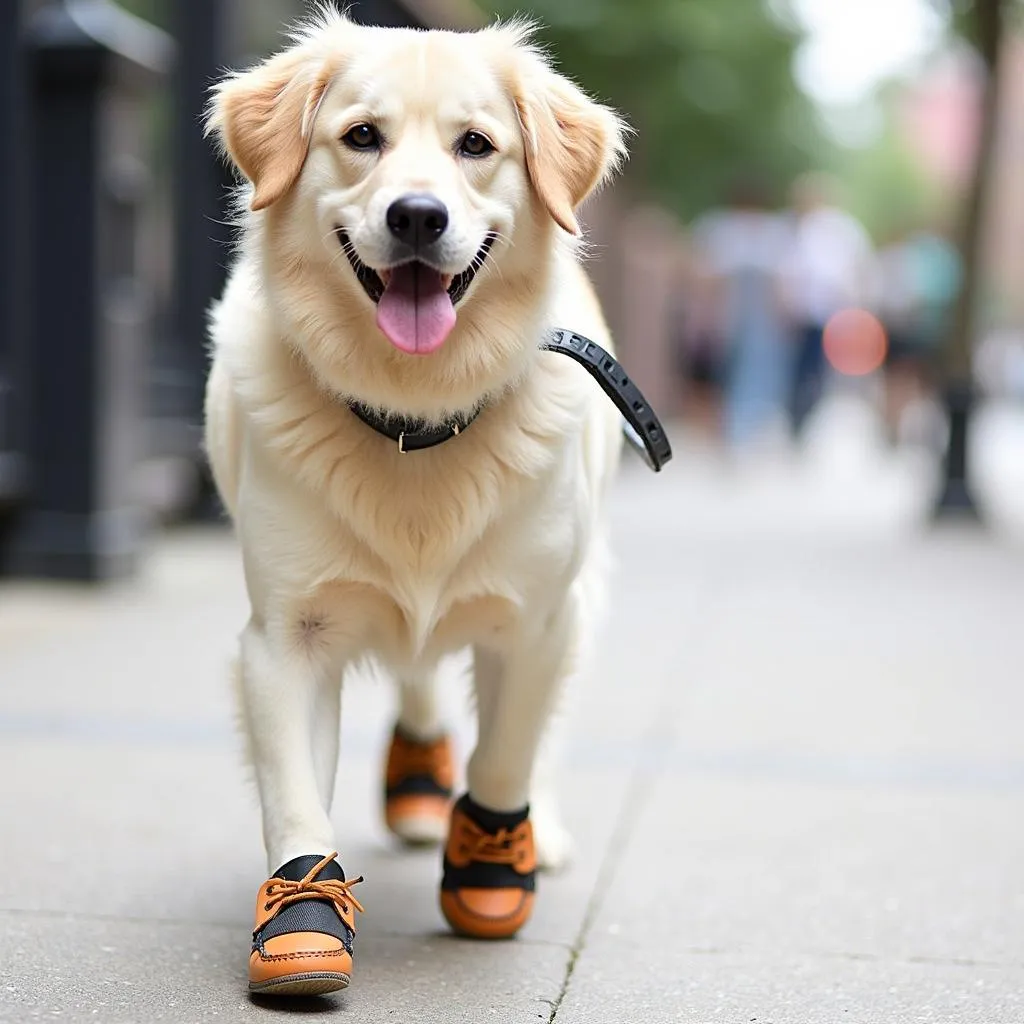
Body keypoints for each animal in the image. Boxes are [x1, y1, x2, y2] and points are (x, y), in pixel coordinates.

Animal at [204, 4, 626, 995]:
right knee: (421, 672)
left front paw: (491, 867)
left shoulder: (540, 618)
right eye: (363, 137)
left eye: (477, 145)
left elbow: (507, 751)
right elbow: (295, 796)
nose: (418, 215)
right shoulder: (285, 634)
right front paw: (304, 923)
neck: (415, 418)